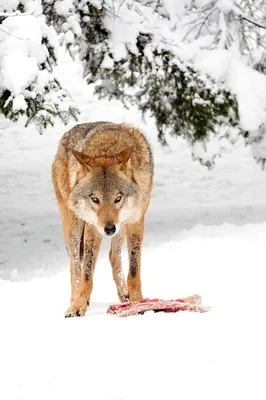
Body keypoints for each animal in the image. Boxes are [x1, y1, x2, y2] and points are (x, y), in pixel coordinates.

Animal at [51, 120, 154, 318]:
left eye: (118, 198)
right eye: (95, 199)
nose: (109, 229)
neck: (108, 148)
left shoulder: (135, 222)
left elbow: (133, 270)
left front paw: (138, 302)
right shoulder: (93, 227)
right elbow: (87, 271)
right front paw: (78, 305)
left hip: (120, 226)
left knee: (112, 256)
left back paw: (125, 296)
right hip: (74, 225)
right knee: (75, 265)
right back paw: (74, 298)